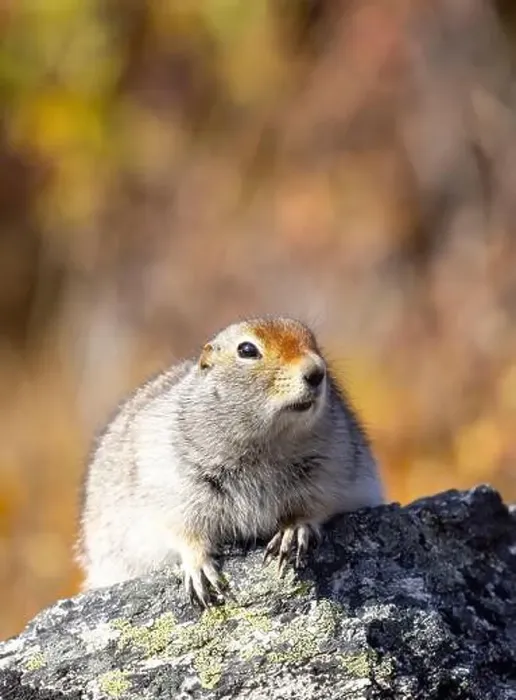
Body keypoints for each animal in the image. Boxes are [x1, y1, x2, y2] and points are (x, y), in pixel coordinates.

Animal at [77, 317, 384, 607]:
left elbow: (316, 505)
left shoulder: (332, 465)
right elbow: (184, 531)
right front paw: (201, 572)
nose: (317, 372)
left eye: (313, 341)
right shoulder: (174, 487)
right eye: (247, 350)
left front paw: (293, 532)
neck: (266, 444)